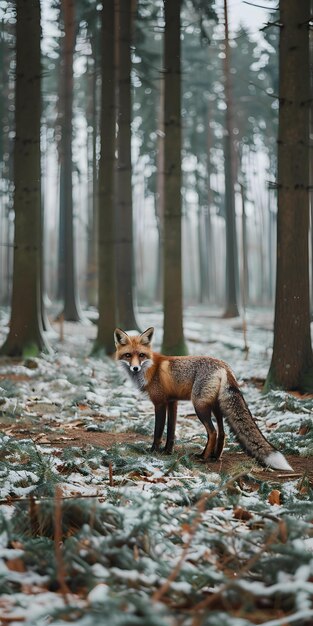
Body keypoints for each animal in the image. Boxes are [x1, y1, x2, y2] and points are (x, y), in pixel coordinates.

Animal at [114, 326, 292, 468]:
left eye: (141, 355)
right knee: (222, 433)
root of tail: (224, 366)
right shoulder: (173, 402)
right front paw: (167, 452)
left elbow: (158, 431)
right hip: (216, 407)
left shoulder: (160, 403)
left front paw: (153, 452)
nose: (135, 368)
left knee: (212, 432)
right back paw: (215, 456)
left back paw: (204, 457)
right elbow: (171, 431)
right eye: (128, 355)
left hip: (199, 406)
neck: (151, 369)